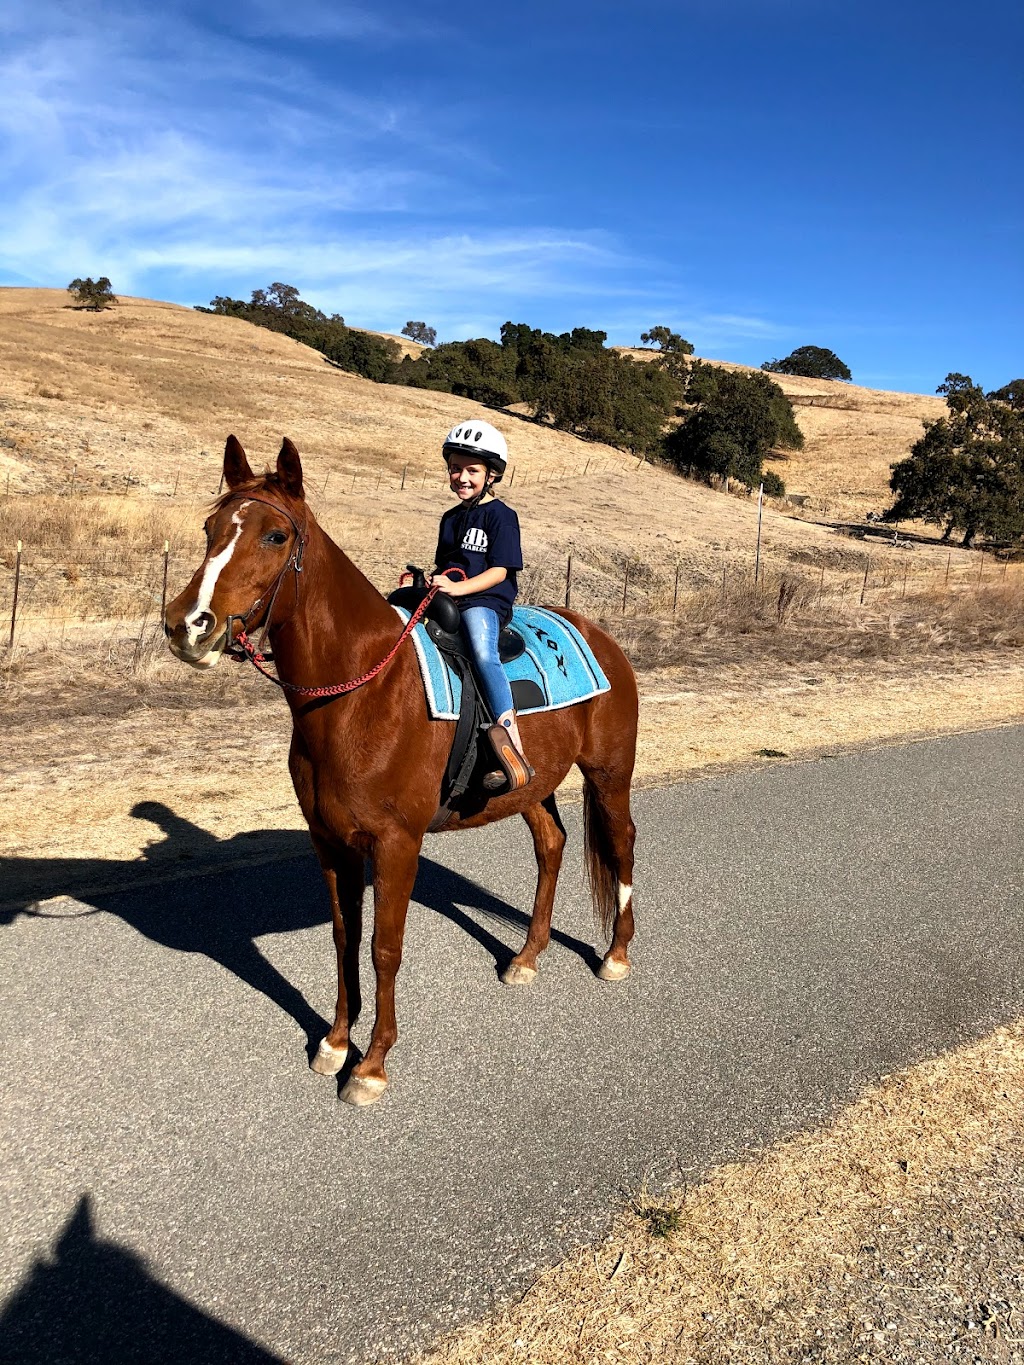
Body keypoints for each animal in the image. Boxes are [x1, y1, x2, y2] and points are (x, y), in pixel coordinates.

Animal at [164, 436, 638, 1108]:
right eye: (210, 529)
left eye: (275, 536)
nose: (188, 625)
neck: (363, 693)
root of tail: (600, 636)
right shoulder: (331, 842)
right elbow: (344, 938)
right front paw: (336, 1042)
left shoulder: (396, 845)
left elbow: (383, 948)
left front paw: (371, 1065)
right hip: (532, 788)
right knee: (553, 844)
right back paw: (527, 957)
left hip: (609, 775)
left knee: (620, 845)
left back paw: (615, 955)